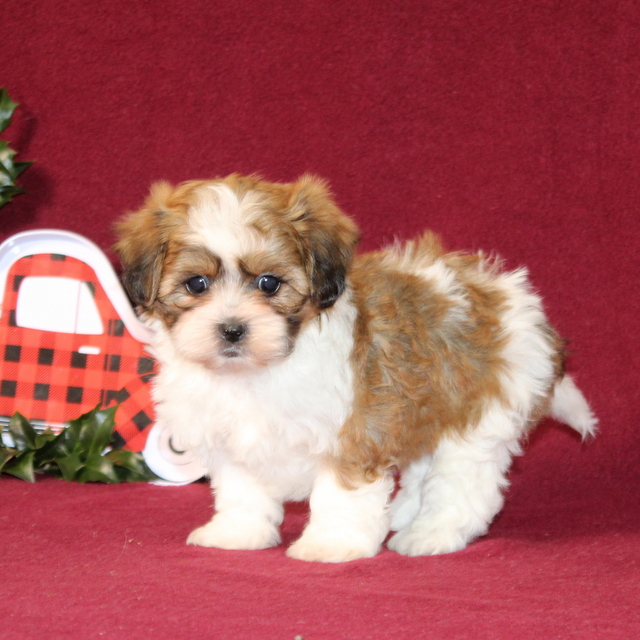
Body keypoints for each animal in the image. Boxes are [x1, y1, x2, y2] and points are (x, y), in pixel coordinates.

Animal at [115, 174, 597, 562]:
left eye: (269, 283)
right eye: (196, 284)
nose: (232, 329)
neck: (258, 372)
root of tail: (516, 303)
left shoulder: (354, 431)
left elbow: (341, 494)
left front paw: (331, 545)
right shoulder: (231, 438)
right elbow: (241, 489)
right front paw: (238, 534)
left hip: (478, 414)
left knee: (464, 485)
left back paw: (430, 534)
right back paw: (403, 512)